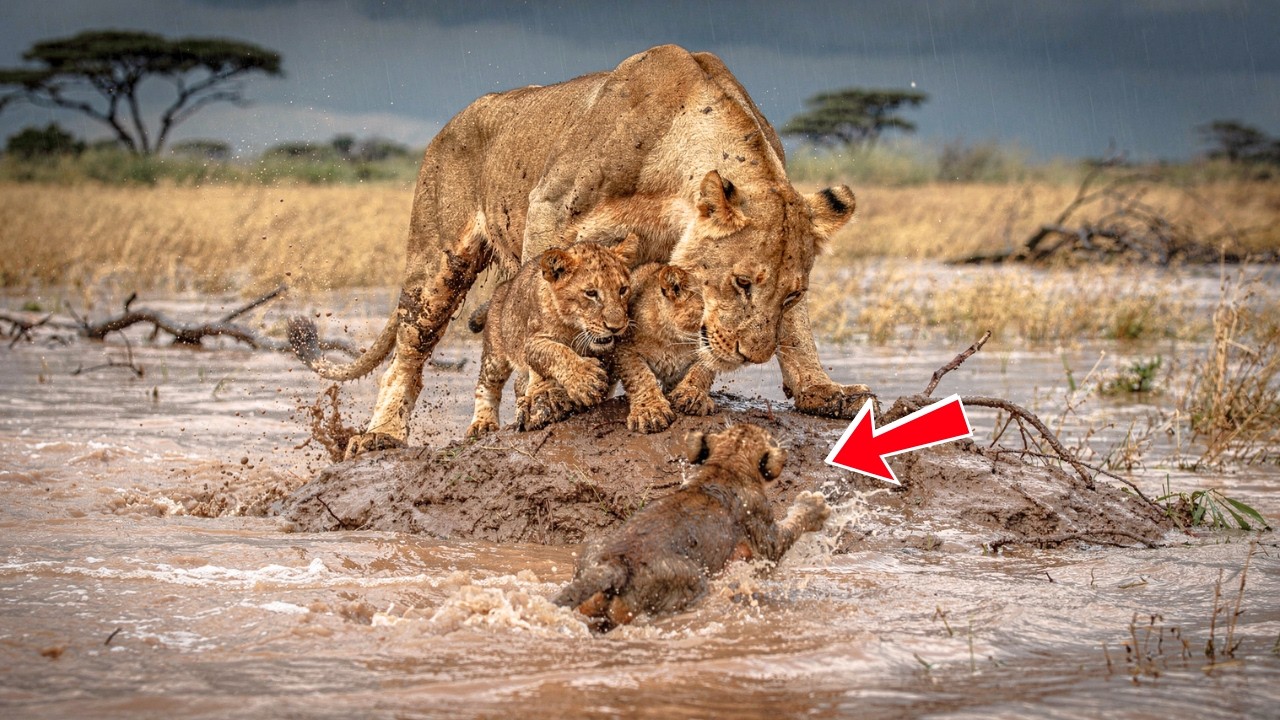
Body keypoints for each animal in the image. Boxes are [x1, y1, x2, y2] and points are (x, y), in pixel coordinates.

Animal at [465, 237, 635, 438]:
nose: (616, 328)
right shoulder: (532, 342)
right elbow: (557, 352)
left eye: (623, 290)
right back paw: (482, 423)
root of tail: (501, 288)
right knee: (486, 386)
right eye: (591, 293)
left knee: (518, 384)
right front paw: (586, 381)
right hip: (495, 355)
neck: (574, 328)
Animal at [551, 423, 830, 631]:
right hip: (691, 583)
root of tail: (615, 565)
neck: (727, 464)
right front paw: (815, 508)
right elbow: (792, 528)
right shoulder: (764, 537)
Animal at [613, 263, 715, 433]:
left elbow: (701, 372)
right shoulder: (624, 348)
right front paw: (650, 412)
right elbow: (640, 376)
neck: (675, 340)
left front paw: (694, 395)